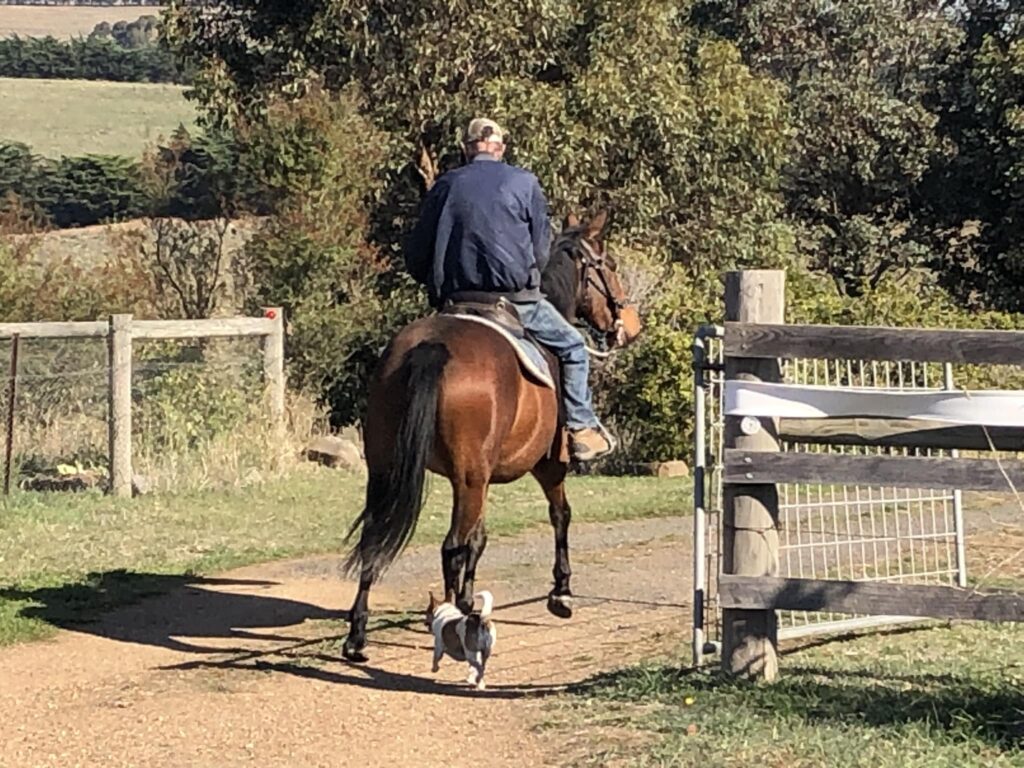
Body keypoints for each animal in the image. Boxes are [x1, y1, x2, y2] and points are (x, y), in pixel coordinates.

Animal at [339, 208, 638, 663]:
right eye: (612, 265)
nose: (627, 325)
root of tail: (431, 347)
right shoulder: (548, 466)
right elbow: (560, 515)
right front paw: (561, 592)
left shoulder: (478, 479)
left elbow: (478, 539)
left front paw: (467, 599)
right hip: (470, 477)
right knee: (450, 546)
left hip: (392, 469)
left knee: (378, 538)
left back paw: (359, 636)